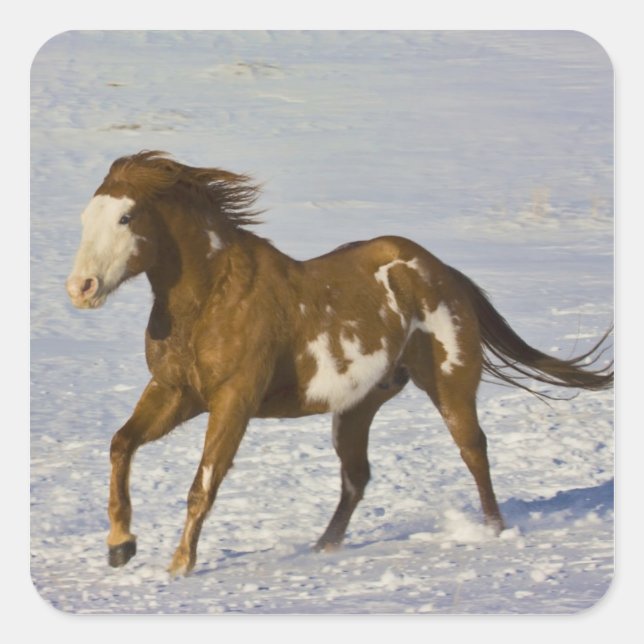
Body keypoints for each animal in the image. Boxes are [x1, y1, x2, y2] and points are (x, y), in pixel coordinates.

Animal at [65, 151, 613, 576]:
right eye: (85, 219)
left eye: (126, 218)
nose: (81, 288)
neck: (211, 298)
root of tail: (441, 271)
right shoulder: (175, 391)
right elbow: (121, 445)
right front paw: (120, 546)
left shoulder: (233, 401)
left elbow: (203, 484)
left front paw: (179, 564)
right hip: (358, 405)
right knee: (357, 477)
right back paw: (323, 546)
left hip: (450, 383)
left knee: (473, 450)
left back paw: (494, 531)